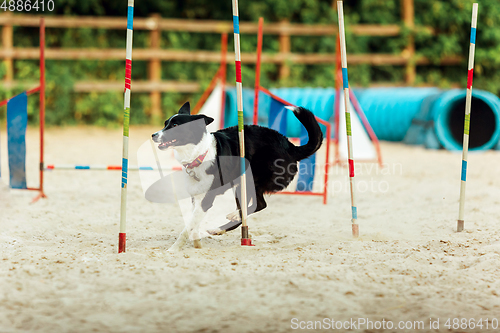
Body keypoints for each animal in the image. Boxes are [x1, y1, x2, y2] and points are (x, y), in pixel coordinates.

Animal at [152, 101, 322, 249]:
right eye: (165, 123)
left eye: (175, 125)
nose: (153, 135)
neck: (199, 154)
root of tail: (291, 147)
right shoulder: (196, 197)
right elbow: (193, 223)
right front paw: (196, 243)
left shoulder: (207, 199)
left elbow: (188, 227)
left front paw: (173, 249)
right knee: (253, 206)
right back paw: (223, 226)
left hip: (250, 180)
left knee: (259, 205)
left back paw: (232, 218)